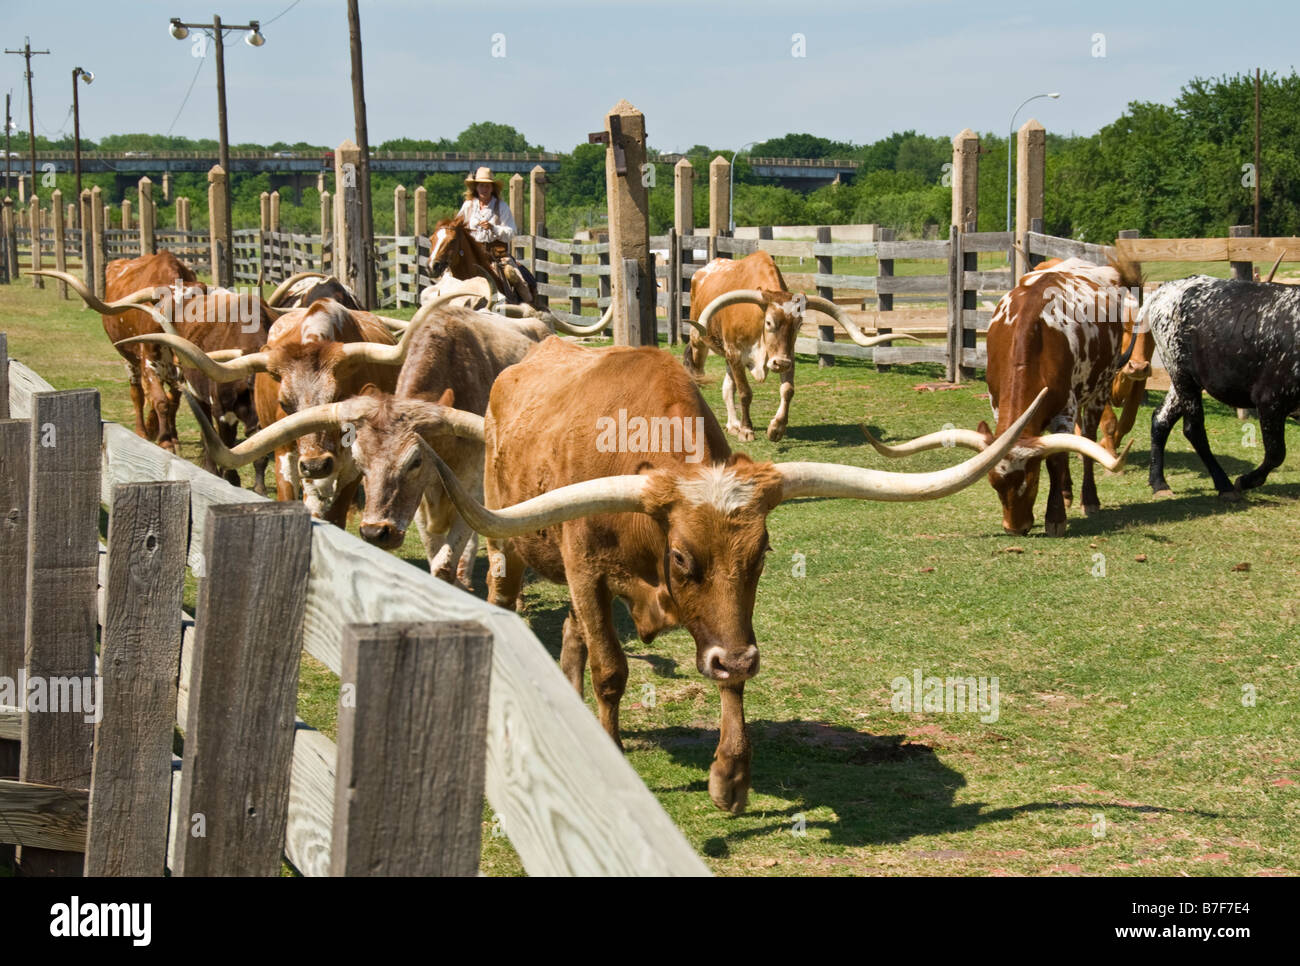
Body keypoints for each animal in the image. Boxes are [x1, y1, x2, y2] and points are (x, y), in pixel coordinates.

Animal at [421, 335, 1050, 811]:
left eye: (763, 551)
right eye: (681, 557)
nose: (742, 658)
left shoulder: (721, 629)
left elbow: (726, 674)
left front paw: (730, 776)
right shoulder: (586, 571)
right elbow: (612, 670)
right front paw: (614, 752)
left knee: (574, 634)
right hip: (508, 544)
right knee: (514, 602)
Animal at [681, 250, 915, 444]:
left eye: (799, 324)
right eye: (769, 322)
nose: (780, 363)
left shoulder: (787, 355)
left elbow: (787, 390)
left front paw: (776, 429)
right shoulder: (735, 353)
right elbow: (745, 393)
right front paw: (747, 430)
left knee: (727, 388)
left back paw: (733, 424)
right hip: (700, 343)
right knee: (700, 375)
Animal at [868, 257, 1133, 535]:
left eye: (1031, 481)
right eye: (994, 485)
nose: (1014, 529)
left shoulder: (1065, 409)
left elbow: (1056, 458)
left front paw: (1055, 517)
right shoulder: (997, 402)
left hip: (1101, 387)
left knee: (1088, 437)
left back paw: (1089, 499)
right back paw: (1067, 492)